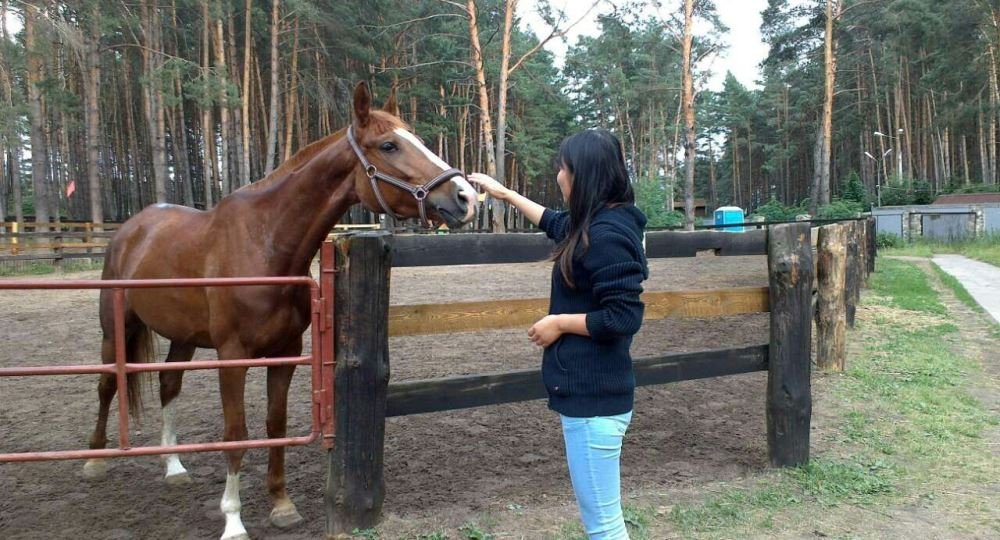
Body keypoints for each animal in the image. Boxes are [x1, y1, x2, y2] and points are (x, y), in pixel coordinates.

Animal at [82, 81, 480, 540]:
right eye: (389, 145)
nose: (465, 197)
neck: (265, 244)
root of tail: (131, 229)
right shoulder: (232, 356)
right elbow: (236, 432)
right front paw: (233, 520)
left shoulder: (287, 352)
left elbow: (276, 424)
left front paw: (282, 505)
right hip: (115, 329)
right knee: (106, 386)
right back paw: (93, 460)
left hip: (182, 336)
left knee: (168, 385)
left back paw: (174, 466)